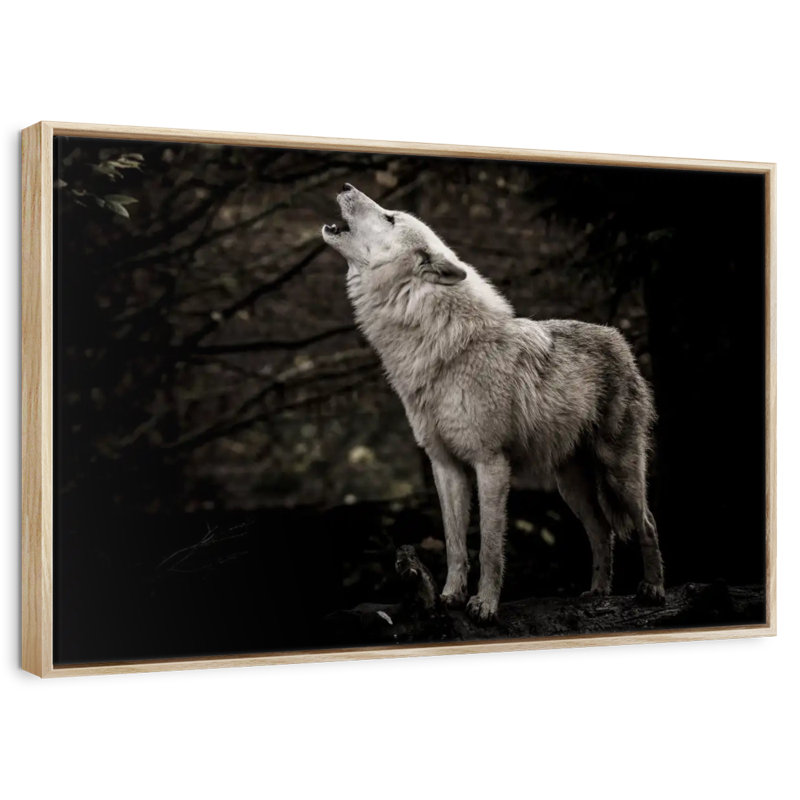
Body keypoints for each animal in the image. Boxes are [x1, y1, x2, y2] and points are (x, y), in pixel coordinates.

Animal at [322, 184, 665, 621]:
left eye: (390, 218)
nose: (347, 187)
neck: (439, 346)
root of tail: (618, 339)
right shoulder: (445, 466)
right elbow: (455, 543)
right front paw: (449, 597)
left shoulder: (491, 463)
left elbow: (488, 545)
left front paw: (484, 605)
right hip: (569, 485)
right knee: (602, 530)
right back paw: (597, 592)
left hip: (619, 471)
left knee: (647, 522)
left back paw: (653, 589)